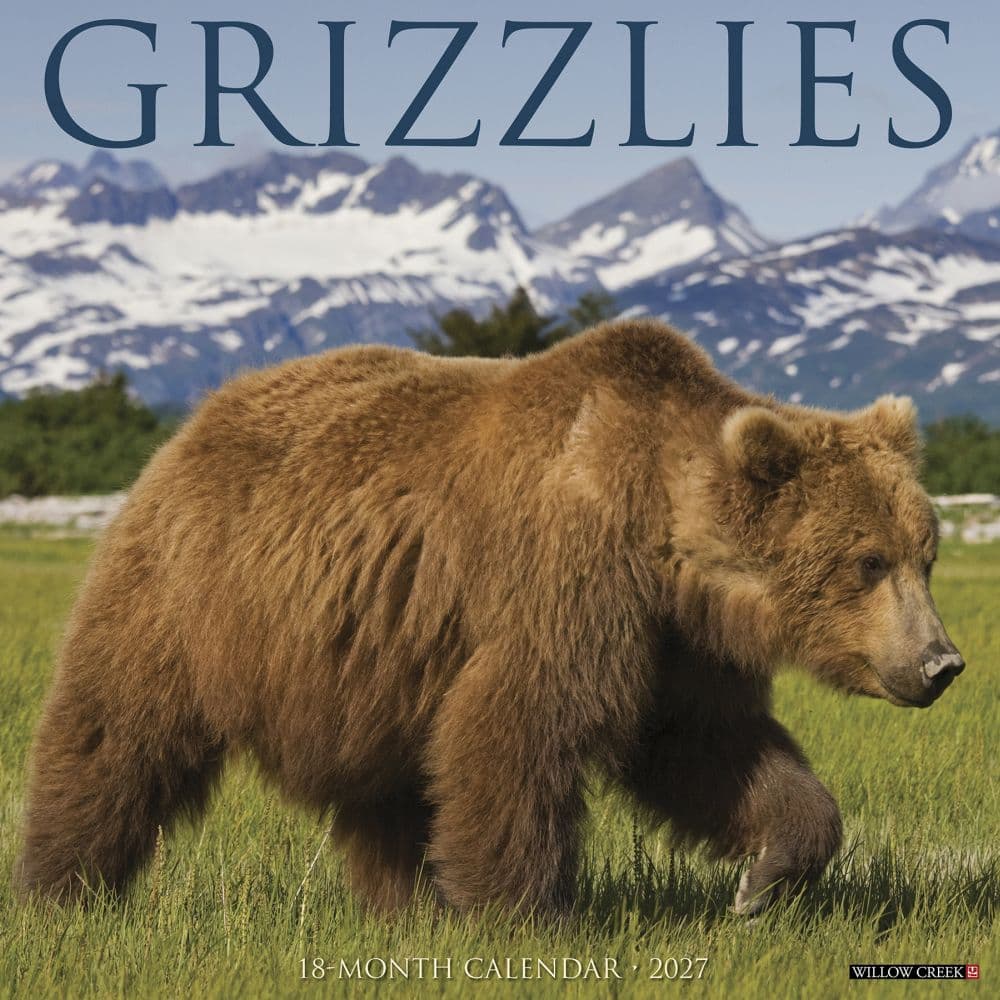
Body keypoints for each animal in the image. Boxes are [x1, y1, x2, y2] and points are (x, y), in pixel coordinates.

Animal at [15, 318, 966, 916]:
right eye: (867, 561)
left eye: (924, 553)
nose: (940, 663)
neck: (662, 535)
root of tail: (198, 419)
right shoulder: (568, 579)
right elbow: (521, 727)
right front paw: (525, 913)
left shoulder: (677, 644)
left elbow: (710, 749)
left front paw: (765, 878)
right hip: (188, 589)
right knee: (117, 728)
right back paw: (61, 888)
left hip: (374, 659)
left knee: (388, 788)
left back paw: (407, 904)